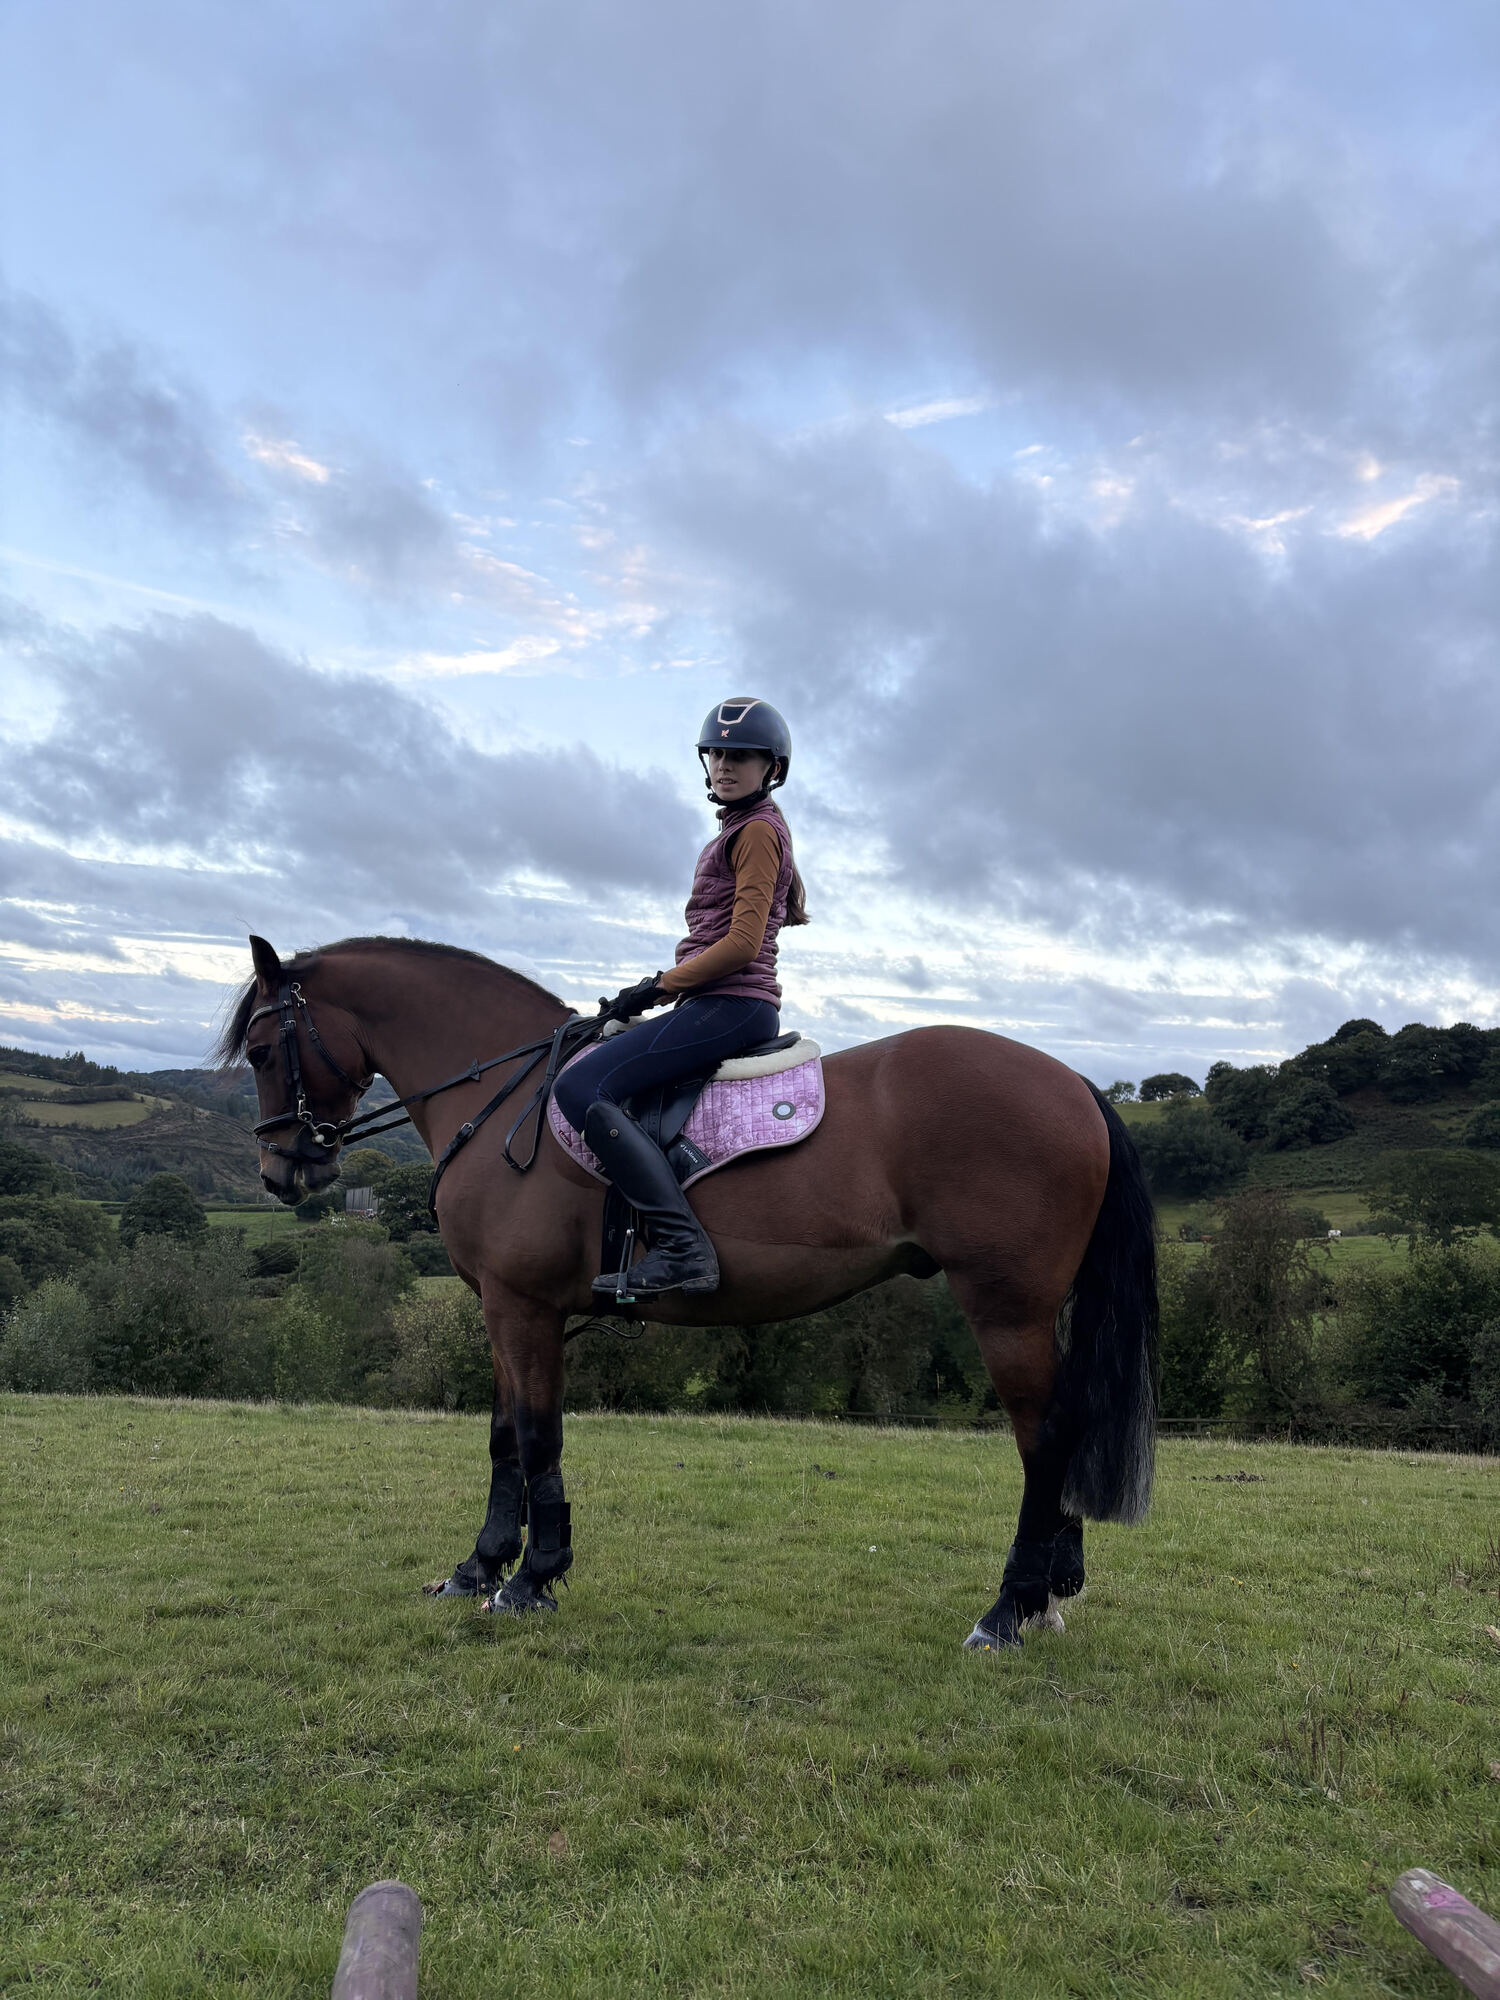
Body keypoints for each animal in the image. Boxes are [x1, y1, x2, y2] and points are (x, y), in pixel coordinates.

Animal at [219, 932, 1158, 1650]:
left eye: (264, 1052)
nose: (280, 1171)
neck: (504, 1097)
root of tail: (1074, 1082)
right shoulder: (502, 1309)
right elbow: (502, 1438)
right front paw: (478, 1566)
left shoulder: (523, 1307)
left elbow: (538, 1436)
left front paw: (531, 1579)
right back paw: (1050, 1593)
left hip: (1005, 1309)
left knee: (1045, 1441)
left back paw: (1008, 1610)